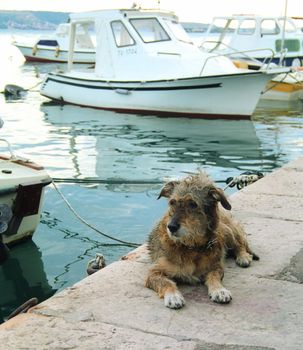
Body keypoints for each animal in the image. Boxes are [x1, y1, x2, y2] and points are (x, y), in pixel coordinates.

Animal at [146, 172, 260, 308]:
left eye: (193, 204)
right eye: (172, 202)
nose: (171, 227)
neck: (191, 247)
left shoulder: (215, 267)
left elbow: (214, 277)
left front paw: (219, 290)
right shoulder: (154, 272)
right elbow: (166, 283)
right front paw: (173, 296)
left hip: (226, 231)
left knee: (239, 244)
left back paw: (243, 256)